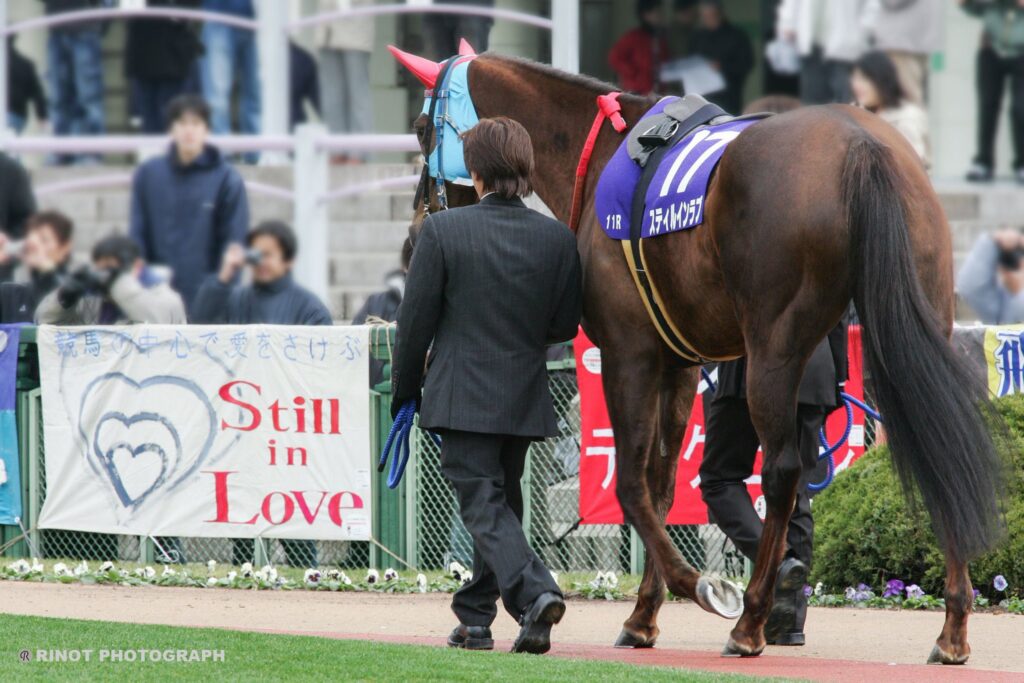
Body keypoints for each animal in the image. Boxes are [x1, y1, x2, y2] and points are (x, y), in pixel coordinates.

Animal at [389, 46, 1006, 663]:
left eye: (420, 127)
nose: (414, 238)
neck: (605, 149)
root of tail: (863, 145)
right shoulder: (678, 363)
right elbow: (662, 484)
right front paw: (642, 617)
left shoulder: (629, 352)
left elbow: (632, 485)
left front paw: (700, 586)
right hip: (918, 320)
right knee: (942, 443)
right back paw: (951, 628)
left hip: (774, 348)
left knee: (782, 472)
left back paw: (752, 620)